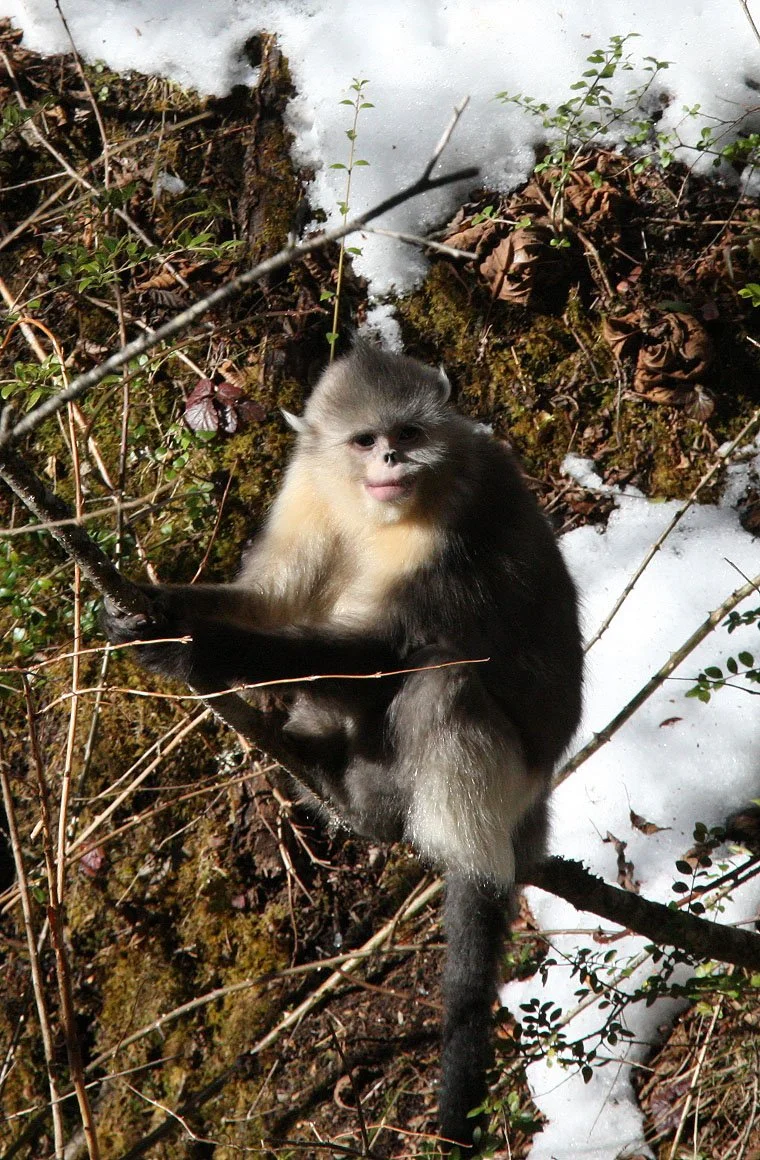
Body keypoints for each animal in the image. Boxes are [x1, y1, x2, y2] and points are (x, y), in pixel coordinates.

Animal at [103, 339, 583, 1152]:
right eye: (365, 441)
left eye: (407, 433)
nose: (391, 456)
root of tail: (538, 794)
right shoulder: (309, 489)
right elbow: (274, 598)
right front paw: (164, 609)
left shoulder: (462, 510)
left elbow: (388, 652)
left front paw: (195, 651)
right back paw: (331, 773)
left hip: (507, 774)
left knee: (440, 679)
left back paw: (421, 834)